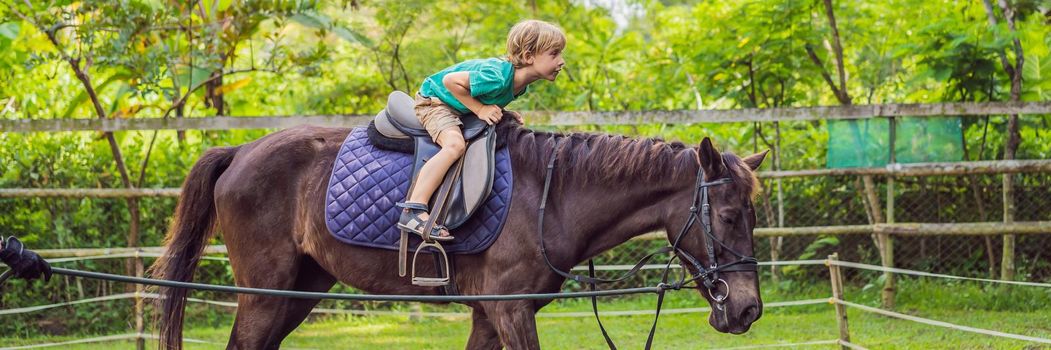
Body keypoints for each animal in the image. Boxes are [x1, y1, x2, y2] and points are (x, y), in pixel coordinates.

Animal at [152, 116, 769, 346]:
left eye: (752, 215)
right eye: (729, 216)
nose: (747, 309)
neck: (553, 197)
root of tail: (240, 151)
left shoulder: (488, 314)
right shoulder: (511, 312)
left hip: (298, 291)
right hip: (264, 293)